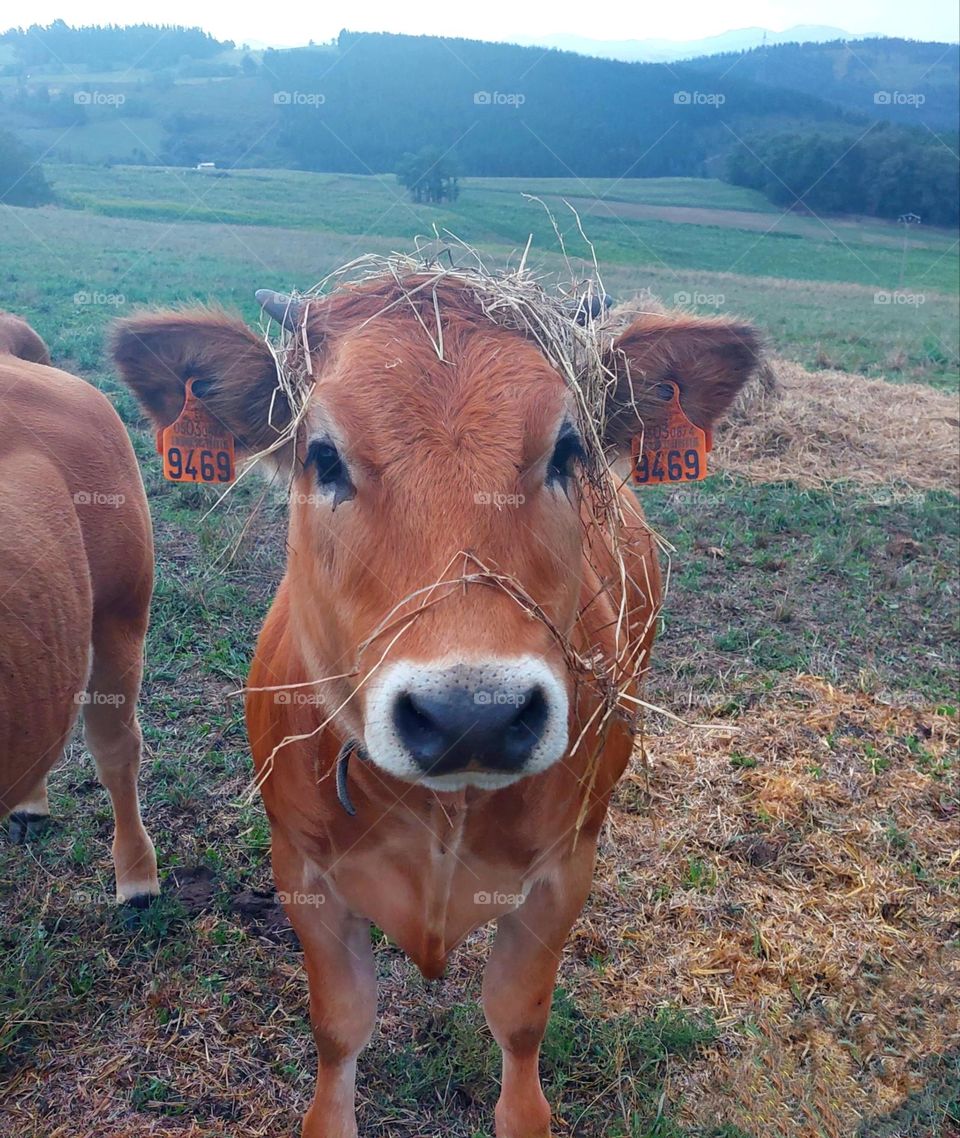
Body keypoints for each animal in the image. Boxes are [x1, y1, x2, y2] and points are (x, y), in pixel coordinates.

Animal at [111, 275, 760, 1137]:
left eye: (568, 449)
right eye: (322, 456)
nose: (471, 715)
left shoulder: (566, 870)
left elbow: (519, 1020)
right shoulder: (302, 870)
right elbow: (339, 1025)